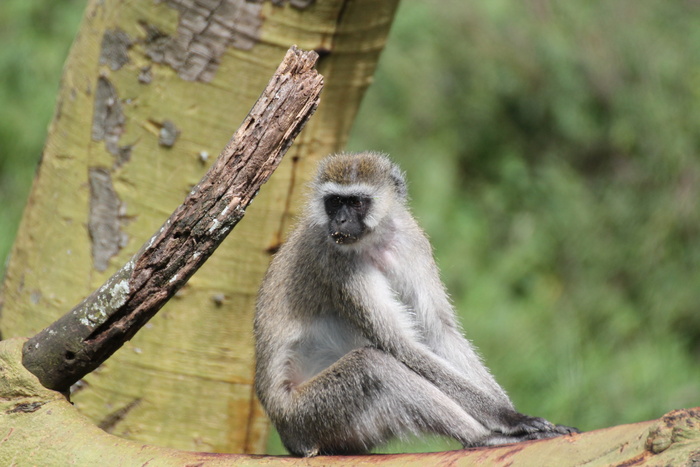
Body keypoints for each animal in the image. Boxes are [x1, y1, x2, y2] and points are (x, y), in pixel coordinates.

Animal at [254, 154, 576, 458]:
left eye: (356, 202)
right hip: (309, 416)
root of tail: (287, 435)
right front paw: (508, 418)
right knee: (375, 366)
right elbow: (401, 344)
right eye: (334, 202)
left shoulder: (411, 239)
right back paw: (483, 438)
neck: (375, 240)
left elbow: (437, 330)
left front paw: (510, 410)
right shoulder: (335, 261)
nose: (340, 222)